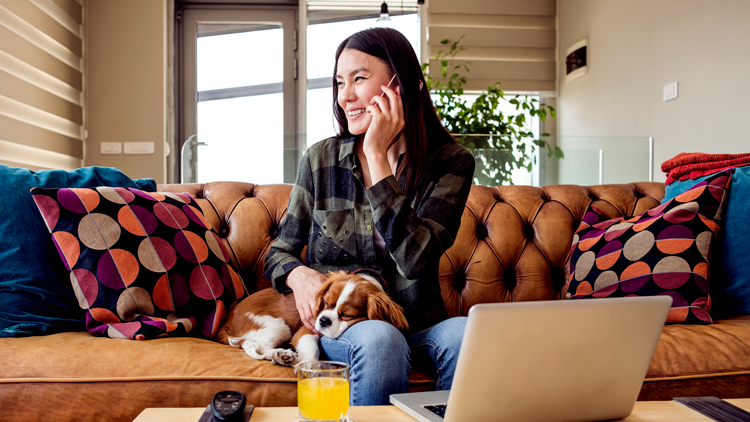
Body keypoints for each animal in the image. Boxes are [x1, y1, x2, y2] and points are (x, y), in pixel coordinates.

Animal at [217, 270, 408, 366]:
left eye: (346, 315)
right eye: (325, 303)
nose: (323, 320)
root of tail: (228, 320)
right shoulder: (307, 328)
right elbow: (311, 347)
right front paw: (309, 366)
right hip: (280, 327)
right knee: (261, 347)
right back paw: (281, 355)